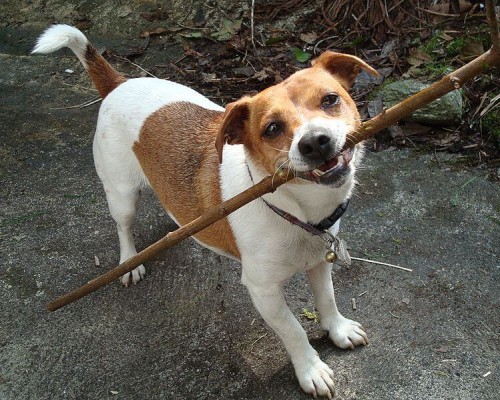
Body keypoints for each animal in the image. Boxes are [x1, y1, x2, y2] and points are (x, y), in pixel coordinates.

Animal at [34, 25, 378, 400]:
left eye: (330, 99)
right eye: (272, 128)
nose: (315, 141)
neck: (295, 210)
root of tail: (118, 83)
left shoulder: (318, 262)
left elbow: (327, 300)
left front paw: (338, 329)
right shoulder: (263, 290)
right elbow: (293, 330)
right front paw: (310, 369)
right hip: (121, 194)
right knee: (123, 226)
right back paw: (130, 261)